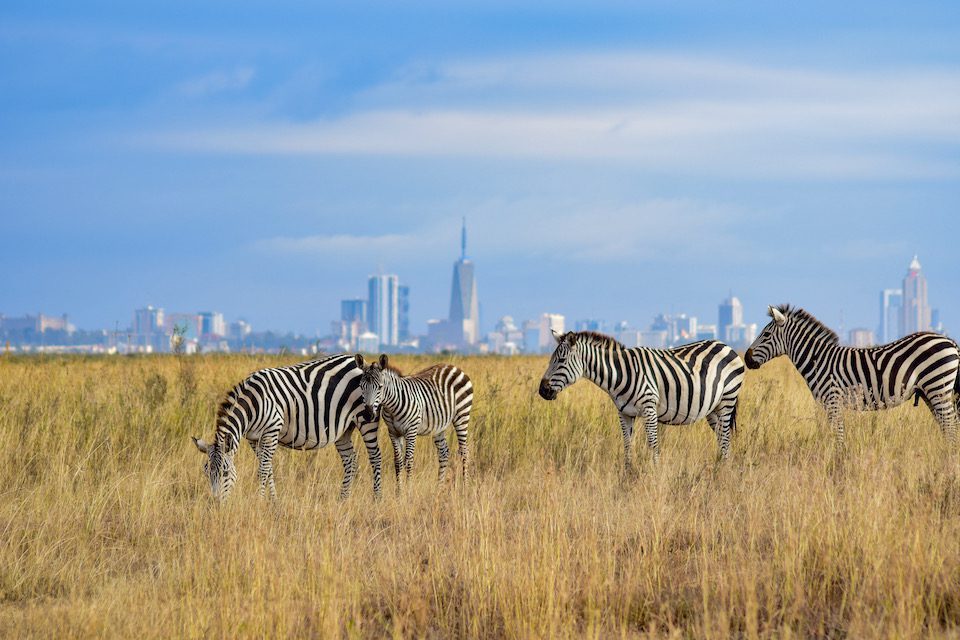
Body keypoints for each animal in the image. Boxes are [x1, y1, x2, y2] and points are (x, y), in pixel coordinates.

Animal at [190, 353, 383, 501]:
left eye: (225, 472)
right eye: (206, 473)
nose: (216, 503)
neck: (253, 403)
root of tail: (357, 361)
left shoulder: (272, 431)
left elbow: (263, 470)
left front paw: (260, 501)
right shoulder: (253, 438)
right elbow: (268, 469)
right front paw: (273, 501)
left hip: (366, 419)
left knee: (375, 457)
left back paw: (377, 499)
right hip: (344, 429)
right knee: (350, 460)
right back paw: (343, 499)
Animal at [355, 354, 472, 488]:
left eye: (380, 387)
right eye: (361, 386)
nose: (368, 415)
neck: (392, 407)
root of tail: (453, 367)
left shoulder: (411, 430)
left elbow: (409, 461)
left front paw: (408, 489)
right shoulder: (393, 432)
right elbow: (398, 462)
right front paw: (399, 490)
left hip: (462, 416)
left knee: (464, 452)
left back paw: (465, 486)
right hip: (439, 425)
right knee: (444, 453)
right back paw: (439, 487)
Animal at [538, 330, 745, 469]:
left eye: (561, 361)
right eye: (550, 359)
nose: (542, 391)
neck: (621, 374)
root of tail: (725, 345)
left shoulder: (649, 408)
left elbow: (653, 444)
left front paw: (655, 473)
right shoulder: (624, 413)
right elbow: (627, 445)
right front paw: (627, 475)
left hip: (727, 399)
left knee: (725, 437)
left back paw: (723, 471)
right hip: (712, 408)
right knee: (721, 437)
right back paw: (720, 467)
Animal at [744, 304, 960, 447]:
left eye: (765, 335)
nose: (746, 358)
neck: (817, 360)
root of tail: (950, 341)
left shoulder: (832, 401)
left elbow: (838, 436)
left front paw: (838, 463)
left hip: (937, 387)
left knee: (950, 425)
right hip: (929, 392)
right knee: (947, 425)